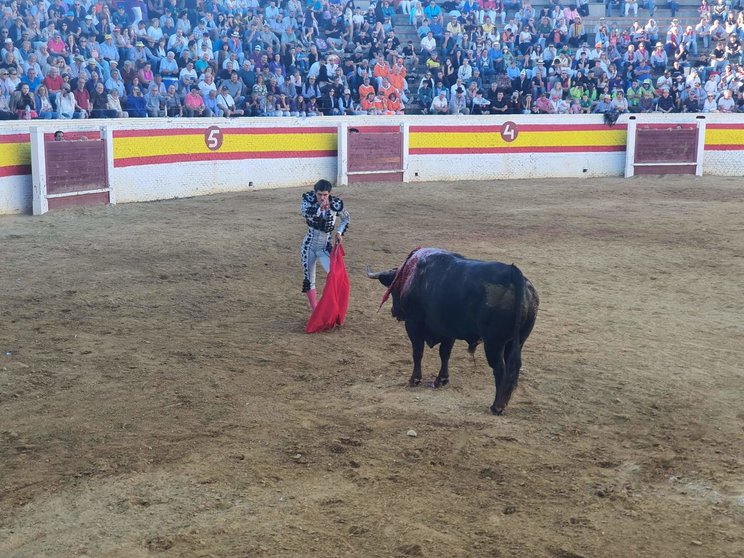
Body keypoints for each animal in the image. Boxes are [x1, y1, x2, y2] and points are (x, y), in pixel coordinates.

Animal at [368, 249, 536, 416]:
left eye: (393, 288)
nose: (393, 311)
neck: (412, 273)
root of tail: (513, 273)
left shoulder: (413, 324)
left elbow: (418, 352)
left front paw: (414, 379)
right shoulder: (448, 332)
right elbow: (445, 354)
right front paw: (441, 379)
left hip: (494, 343)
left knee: (500, 369)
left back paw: (497, 406)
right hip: (516, 341)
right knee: (512, 369)